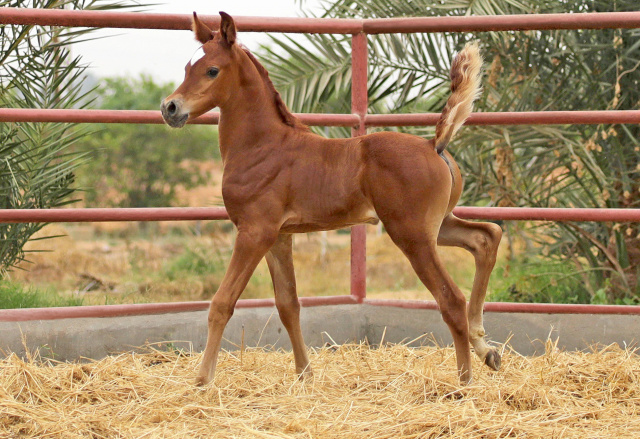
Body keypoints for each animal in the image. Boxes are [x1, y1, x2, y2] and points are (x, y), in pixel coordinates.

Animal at [160, 12, 500, 386]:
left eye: (212, 70)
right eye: (187, 67)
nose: (170, 107)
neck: (263, 145)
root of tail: (433, 144)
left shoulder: (254, 232)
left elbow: (222, 303)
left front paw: (201, 380)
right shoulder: (279, 237)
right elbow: (288, 305)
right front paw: (304, 375)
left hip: (412, 234)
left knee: (451, 298)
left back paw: (464, 381)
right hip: (436, 226)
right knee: (487, 236)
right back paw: (487, 350)